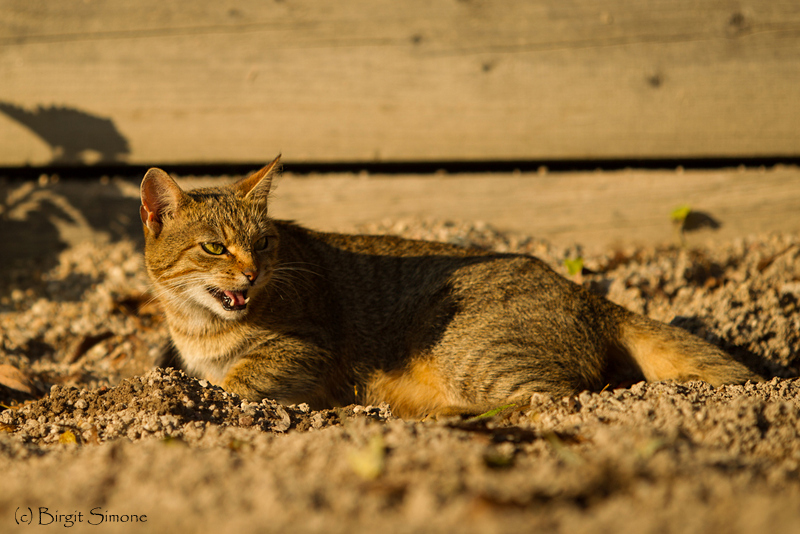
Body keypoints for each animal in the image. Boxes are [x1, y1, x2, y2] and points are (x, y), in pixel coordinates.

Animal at [141, 157, 760, 420]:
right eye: (214, 248)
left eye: (264, 243)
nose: (252, 272)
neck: (198, 328)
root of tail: (584, 294)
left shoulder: (306, 348)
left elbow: (238, 381)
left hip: (468, 352)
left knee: (555, 397)